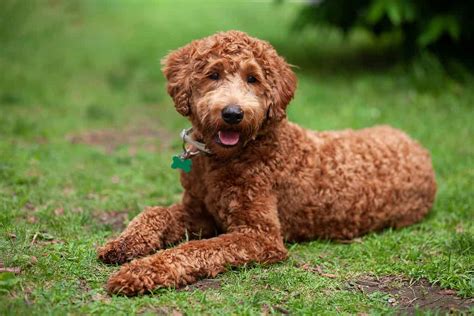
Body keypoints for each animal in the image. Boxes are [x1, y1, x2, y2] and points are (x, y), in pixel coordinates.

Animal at [96, 30, 436, 296]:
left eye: (253, 79)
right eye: (213, 74)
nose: (233, 113)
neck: (228, 157)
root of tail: (417, 146)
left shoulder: (259, 235)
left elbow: (197, 248)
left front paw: (139, 272)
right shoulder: (197, 211)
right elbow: (153, 213)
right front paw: (122, 244)